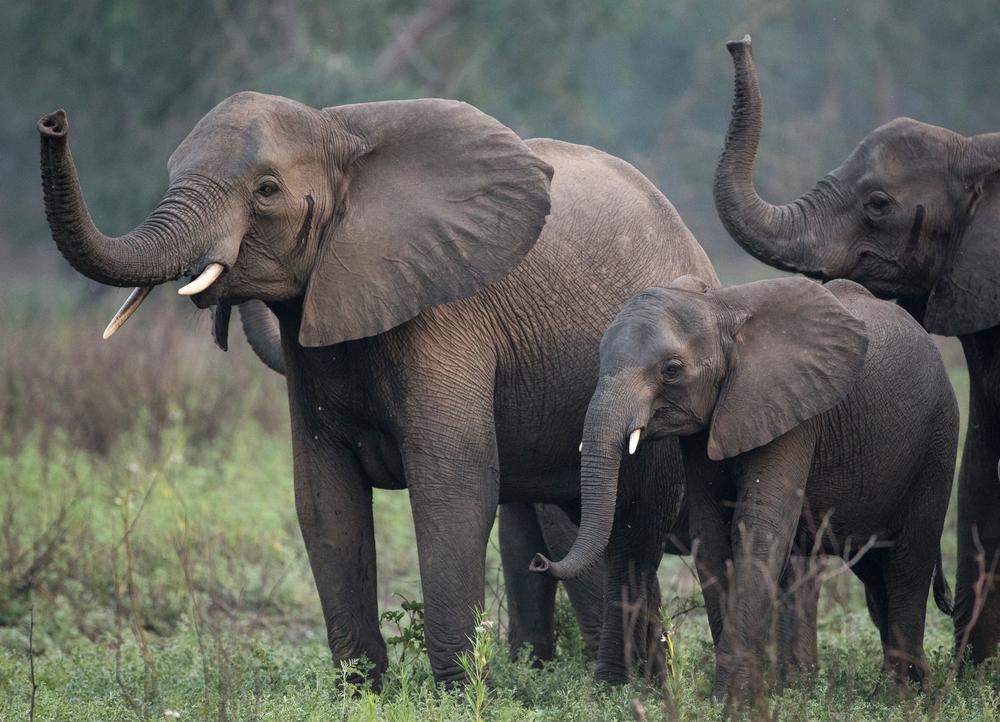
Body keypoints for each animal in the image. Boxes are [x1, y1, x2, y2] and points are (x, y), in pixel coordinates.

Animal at [534, 275, 957, 699]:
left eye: (671, 370)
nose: (540, 562)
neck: (721, 309)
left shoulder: (793, 410)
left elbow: (761, 530)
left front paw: (729, 700)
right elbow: (712, 536)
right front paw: (749, 693)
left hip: (937, 441)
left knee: (907, 566)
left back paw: (898, 696)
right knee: (876, 570)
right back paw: (907, 688)